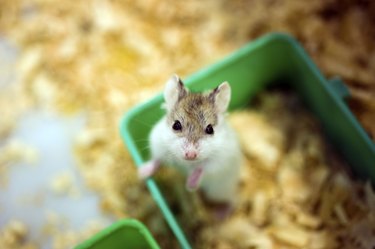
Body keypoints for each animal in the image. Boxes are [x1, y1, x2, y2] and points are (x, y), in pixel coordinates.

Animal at [140, 75, 242, 203]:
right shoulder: (158, 145)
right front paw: (141, 173)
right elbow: (157, 160)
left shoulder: (220, 160)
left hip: (221, 192)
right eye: (176, 125)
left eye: (210, 129)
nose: (190, 155)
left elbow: (201, 168)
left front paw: (190, 186)